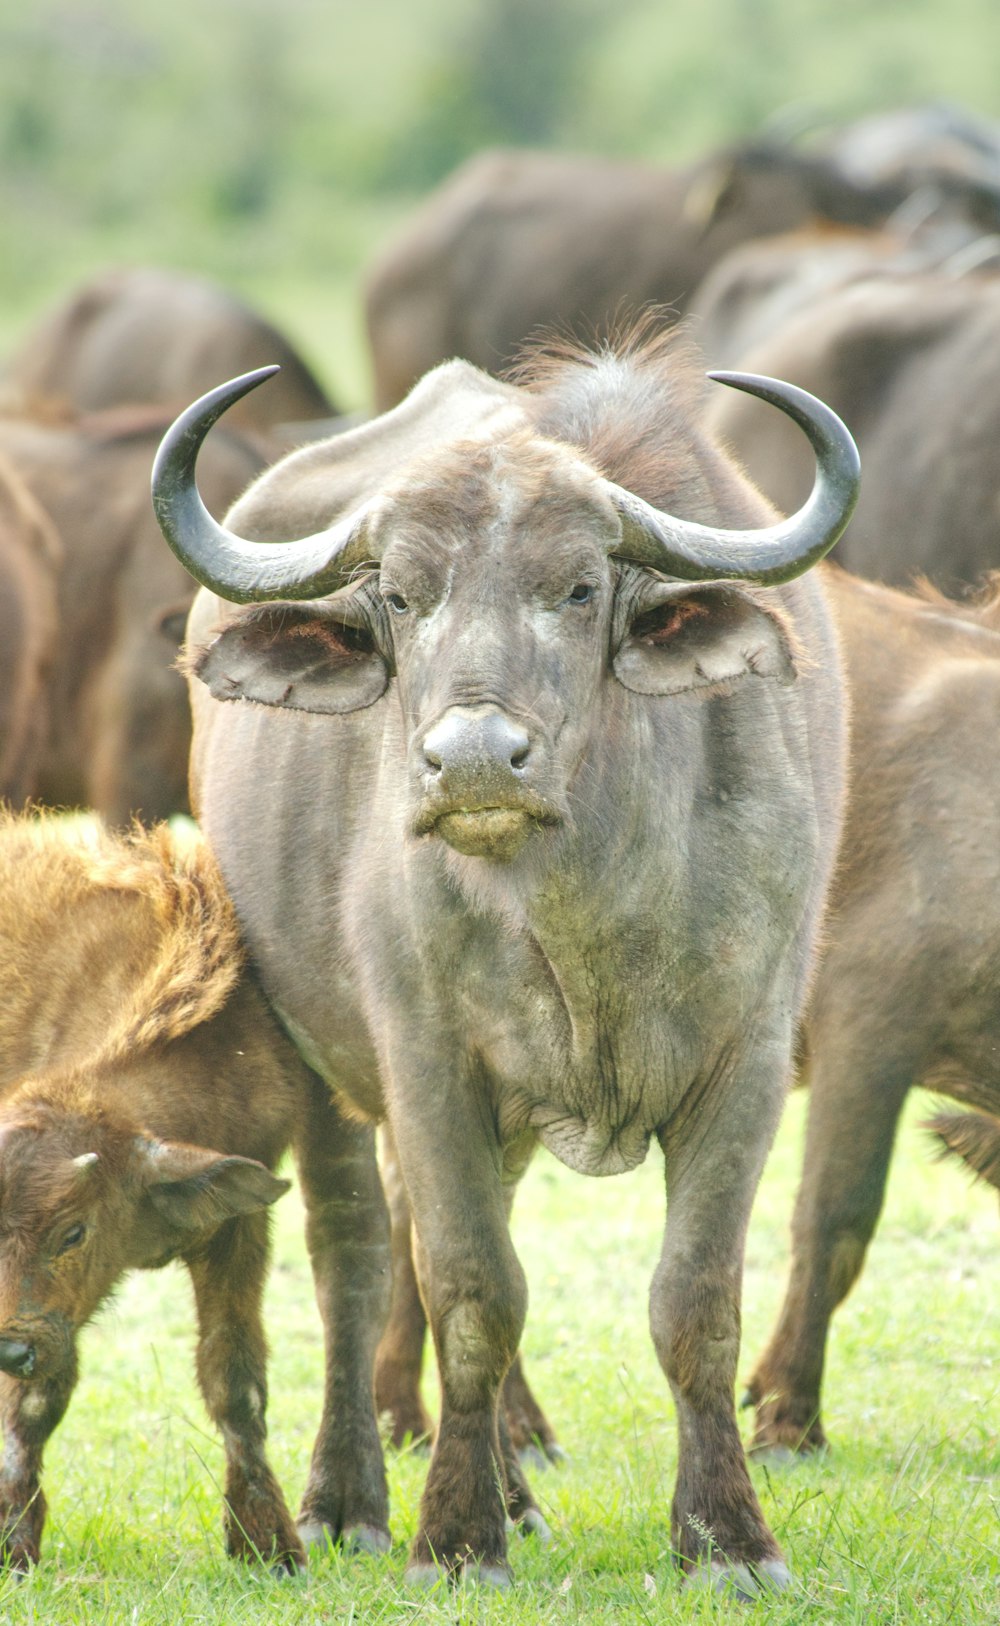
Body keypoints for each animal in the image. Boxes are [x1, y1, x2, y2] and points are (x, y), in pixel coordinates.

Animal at [0, 819, 391, 1567]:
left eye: (73, 1230)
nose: (7, 1348)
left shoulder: (236, 1230)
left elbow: (235, 1381)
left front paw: (269, 1544)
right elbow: (34, 1403)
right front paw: (12, 1536)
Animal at [152, 326, 858, 1586]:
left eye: (578, 587)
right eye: (398, 593)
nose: (474, 760)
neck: (589, 917)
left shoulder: (749, 1060)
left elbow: (696, 1301)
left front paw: (724, 1537)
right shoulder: (429, 1060)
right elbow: (471, 1291)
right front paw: (454, 1534)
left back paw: (518, 1492)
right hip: (315, 1054)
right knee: (355, 1254)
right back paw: (349, 1498)